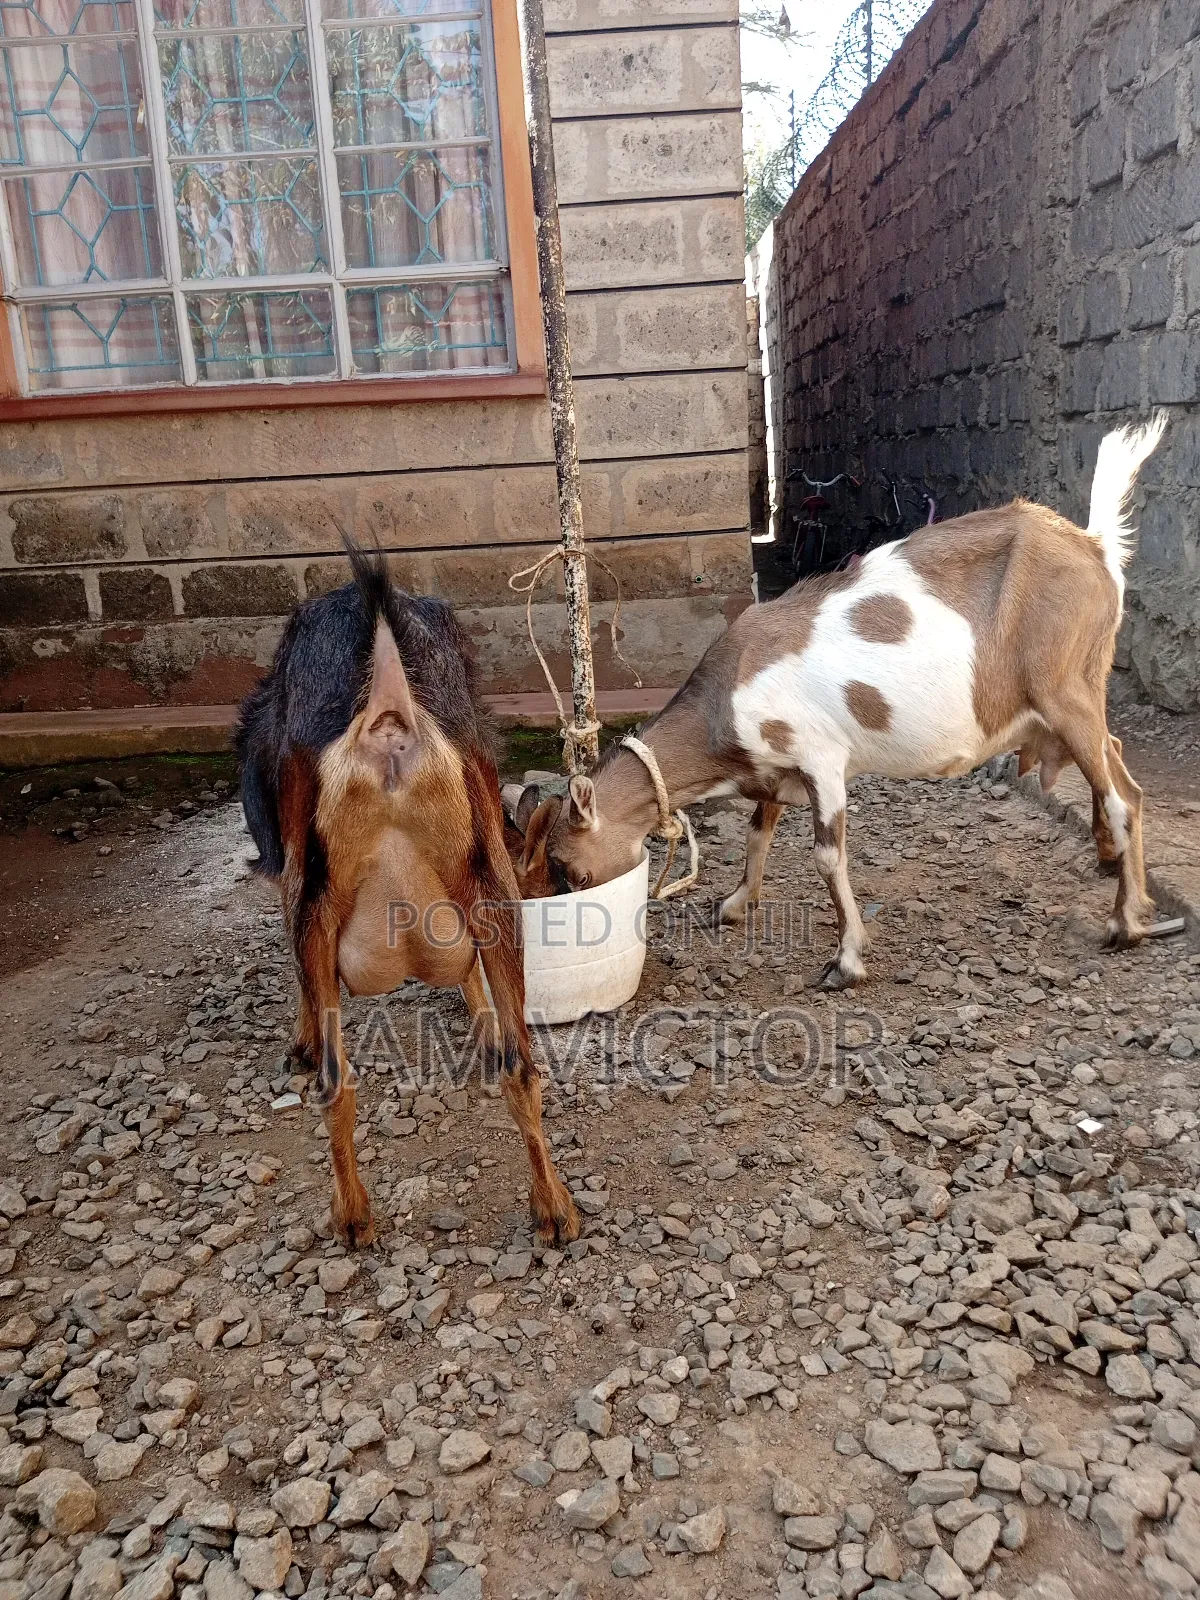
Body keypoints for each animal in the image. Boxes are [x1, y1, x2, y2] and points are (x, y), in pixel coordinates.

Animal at [235, 545, 580, 1249]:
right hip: (486, 884)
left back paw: (354, 1213)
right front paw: (486, 1031)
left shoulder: (289, 882)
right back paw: (551, 1209)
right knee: (518, 1069)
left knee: (334, 1077)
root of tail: (389, 713)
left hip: (319, 893)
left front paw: (299, 1040)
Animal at [535, 418, 1167, 987]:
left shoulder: (821, 759)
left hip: (1062, 689)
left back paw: (1125, 923)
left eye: (568, 868)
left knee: (1123, 797)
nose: (567, 906)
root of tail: (1096, 548)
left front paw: (846, 960)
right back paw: (1120, 878)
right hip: (1078, 692)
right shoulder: (776, 768)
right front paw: (735, 904)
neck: (724, 700)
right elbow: (758, 832)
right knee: (1116, 764)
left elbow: (825, 857)